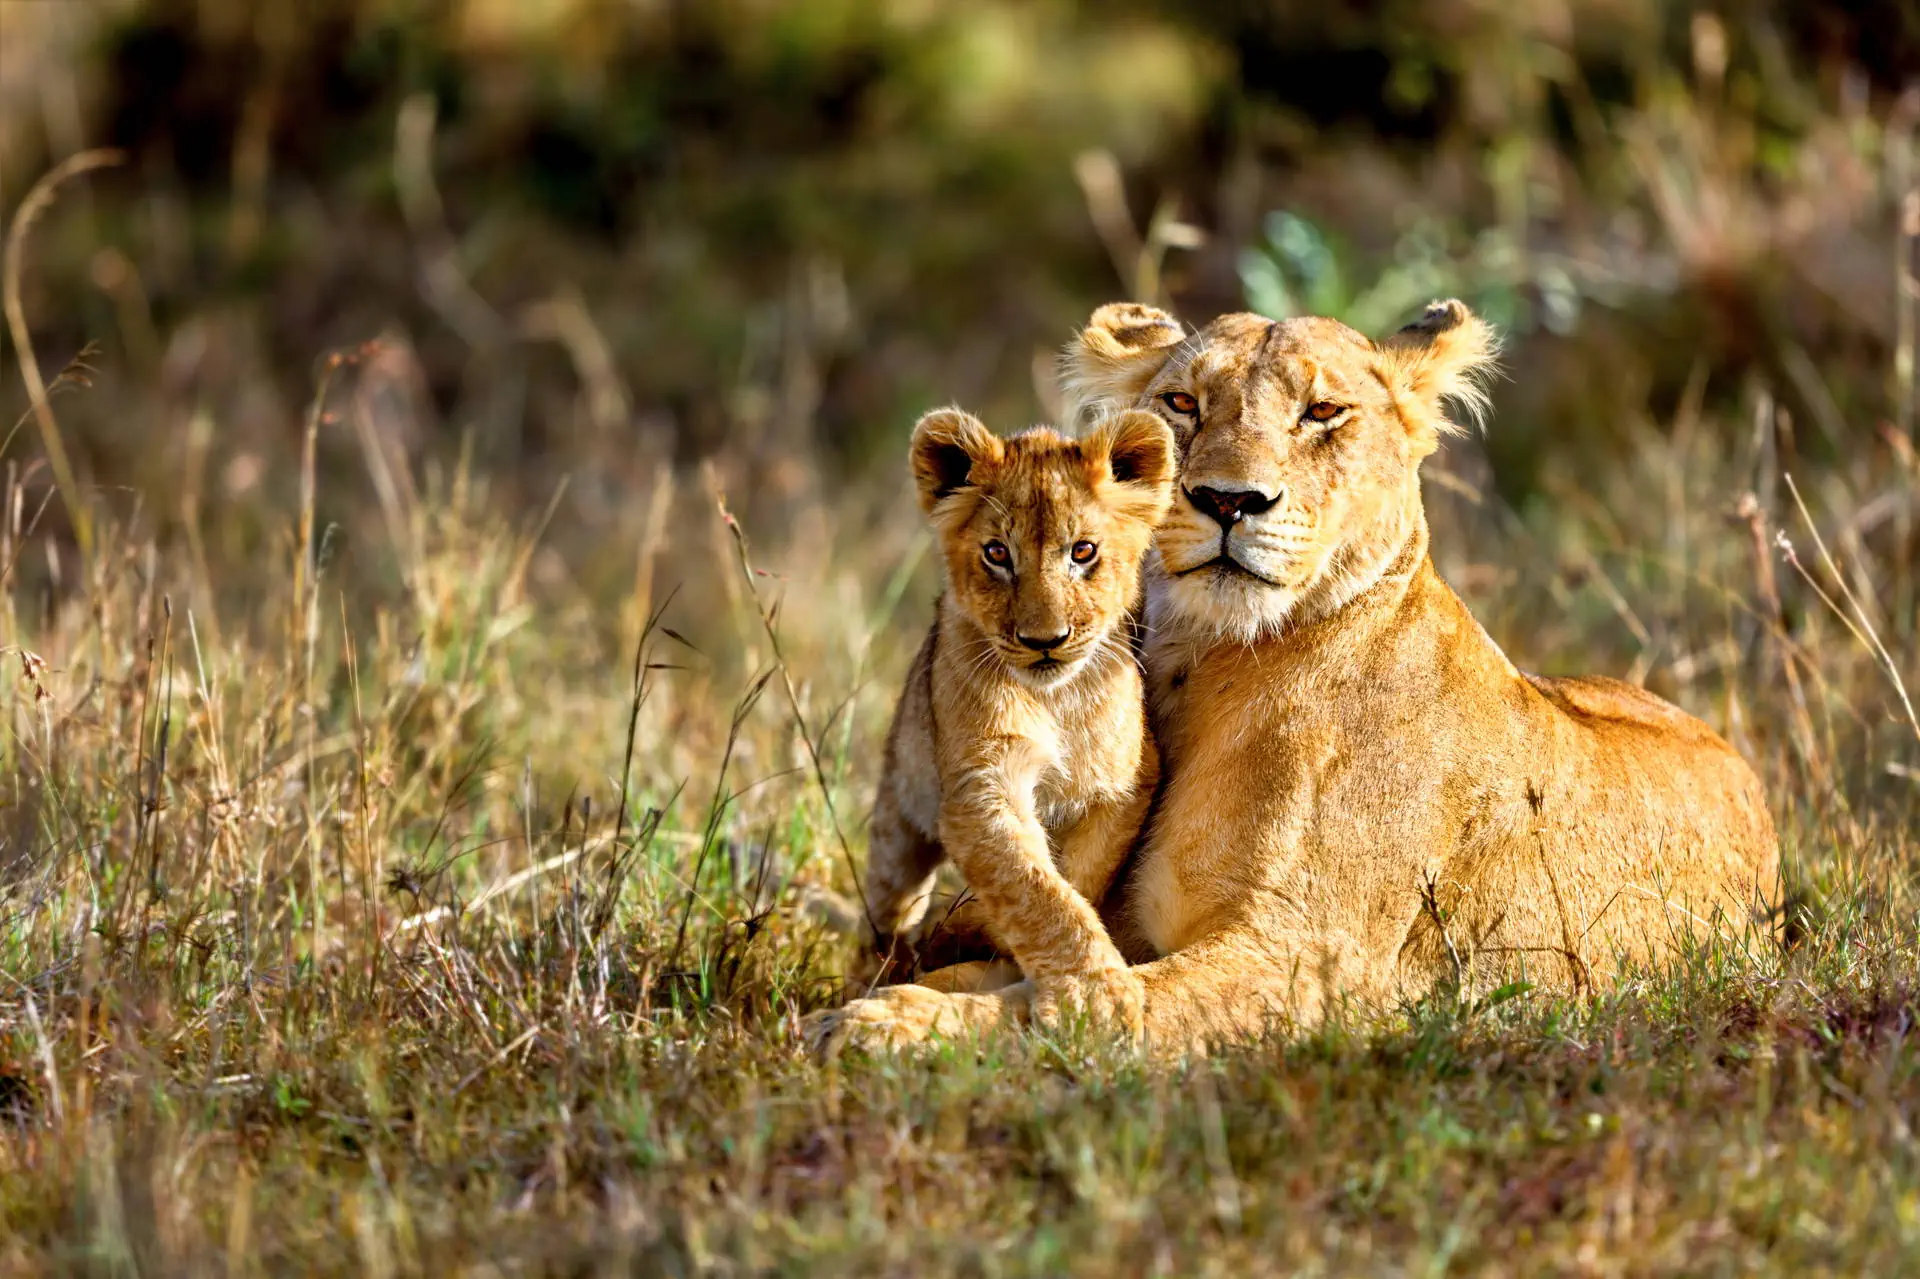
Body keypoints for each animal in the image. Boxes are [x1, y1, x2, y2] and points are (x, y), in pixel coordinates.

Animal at [819, 405, 1176, 1038]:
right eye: (997, 554)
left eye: (1083, 551)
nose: (1044, 641)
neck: (1056, 699)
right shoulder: (979, 786)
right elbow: (1034, 887)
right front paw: (1096, 996)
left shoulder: (1123, 786)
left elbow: (1074, 880)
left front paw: (999, 945)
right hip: (897, 823)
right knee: (887, 910)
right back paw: (881, 965)